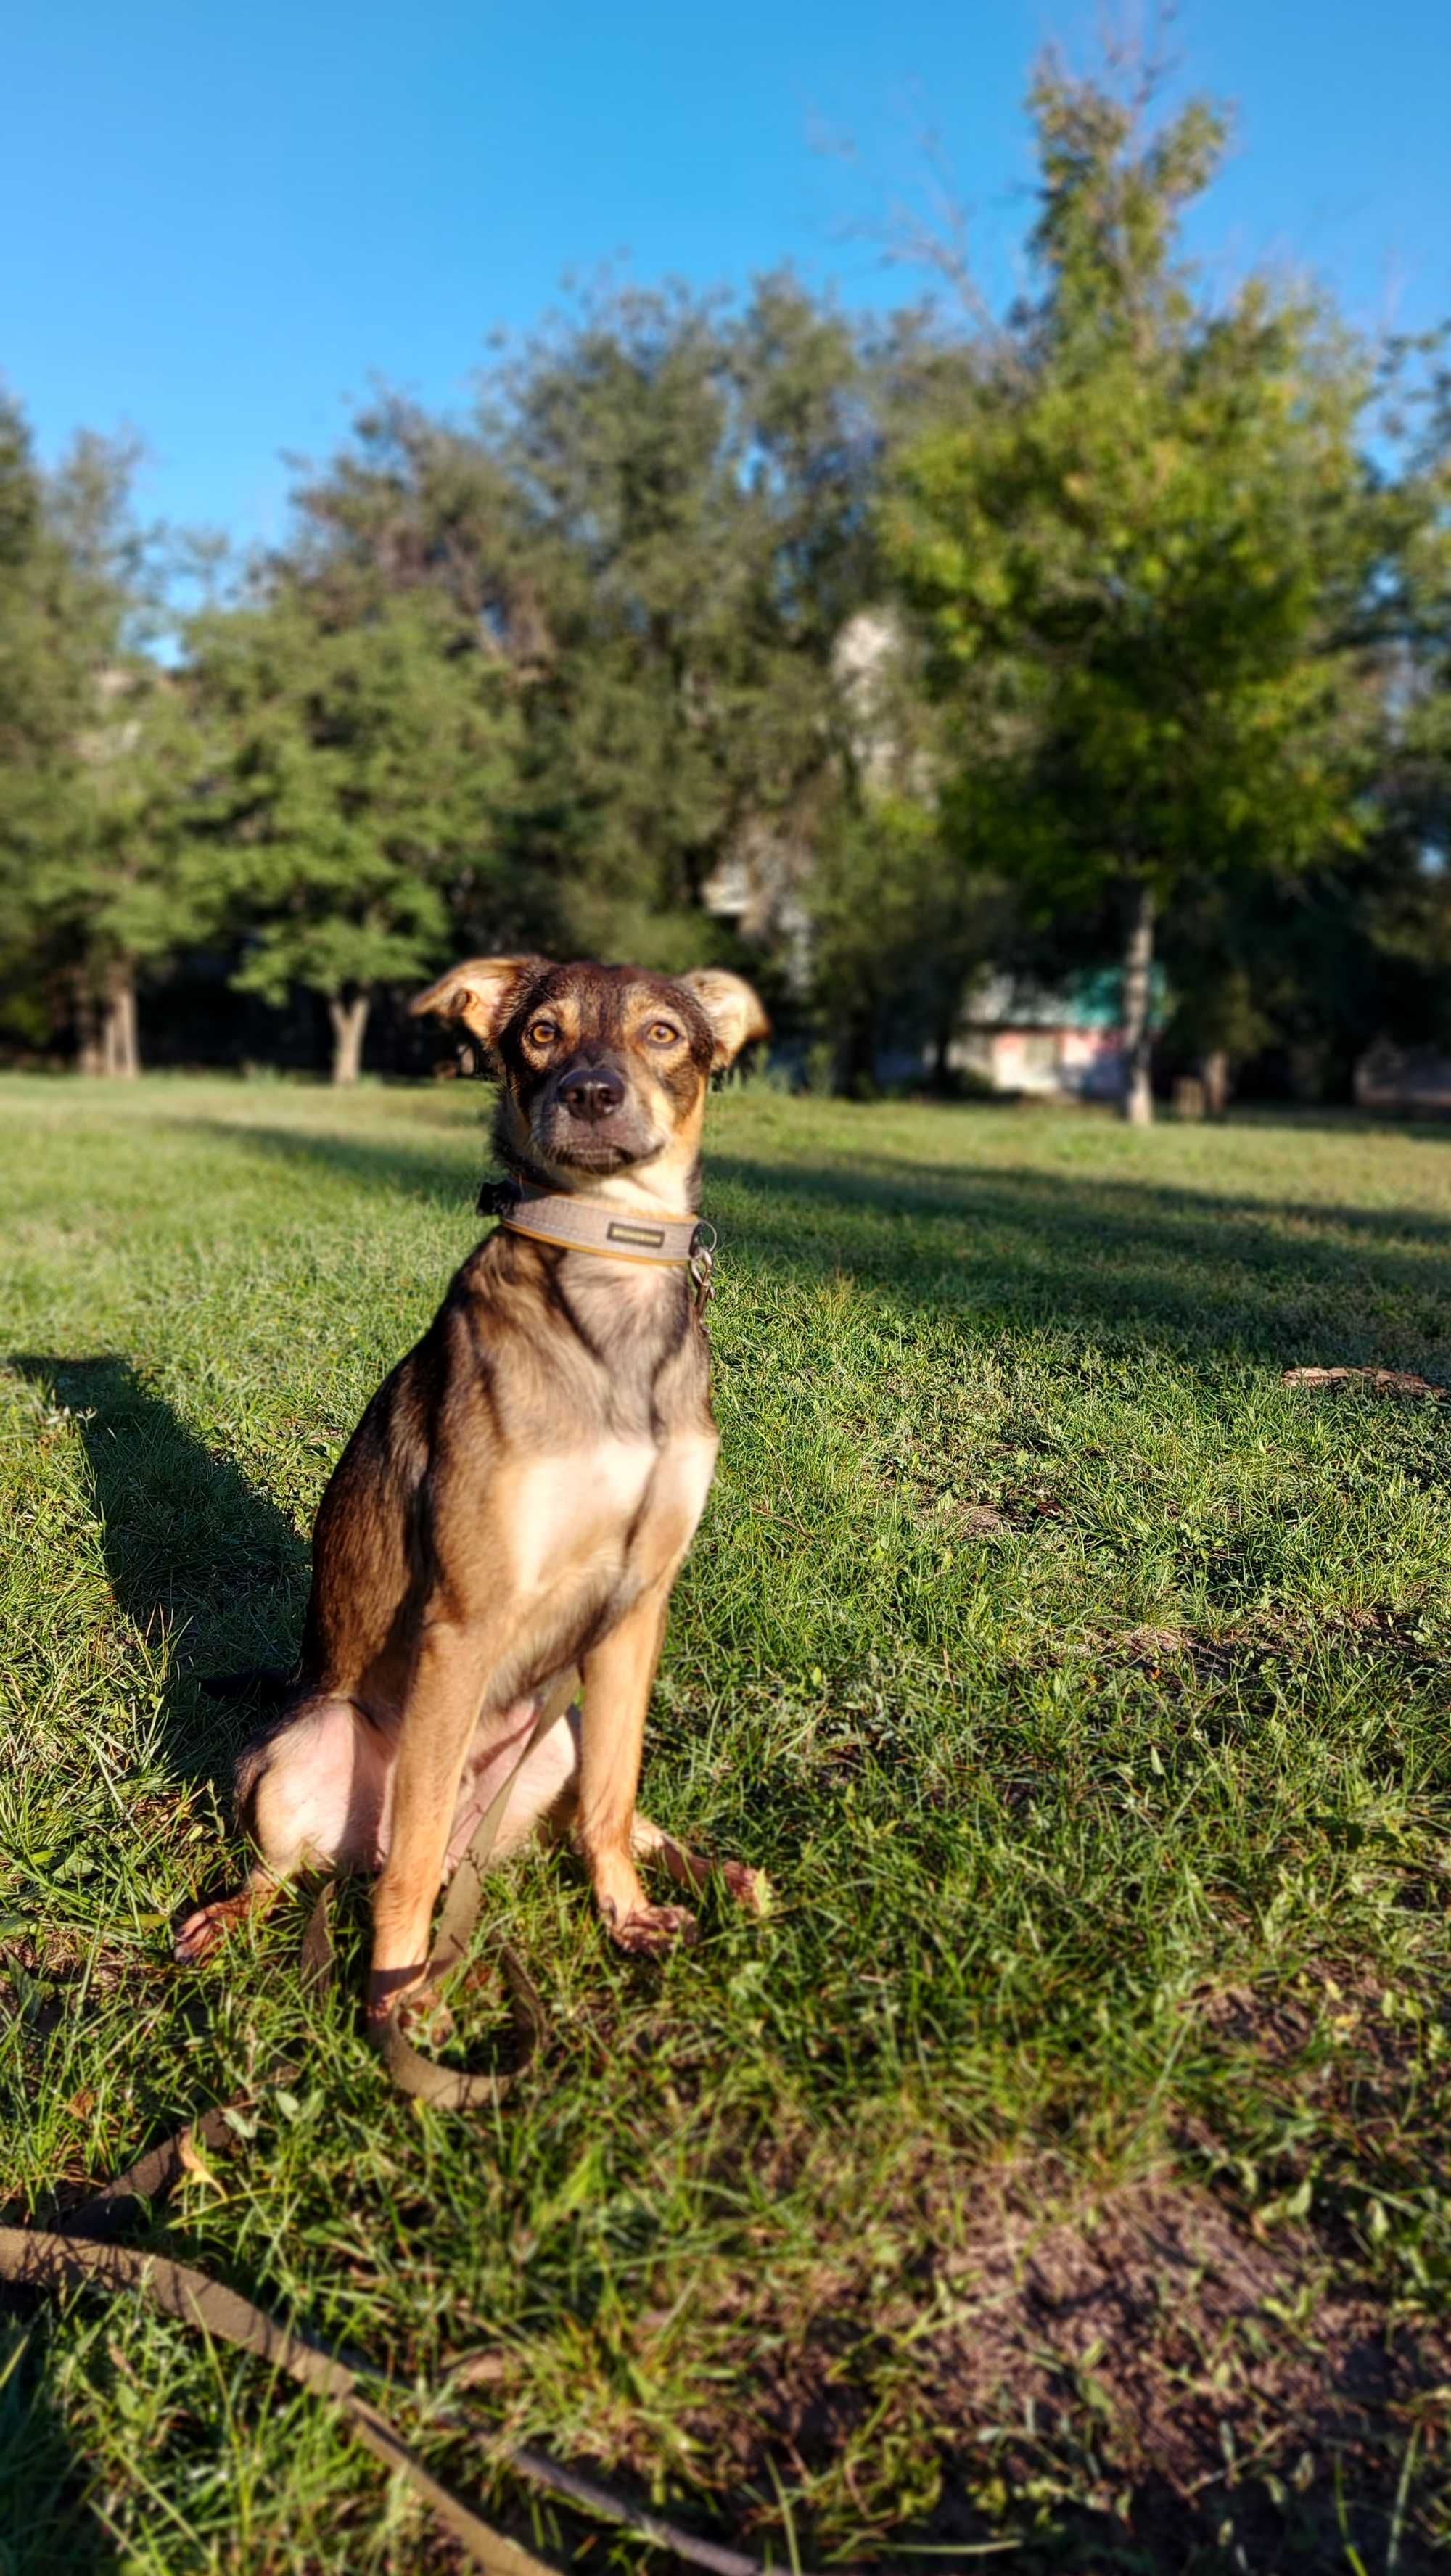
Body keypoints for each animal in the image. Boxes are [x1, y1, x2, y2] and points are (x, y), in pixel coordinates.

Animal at [173, 958, 773, 2019]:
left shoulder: (636, 1604)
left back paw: (716, 1871)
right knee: (310, 1866)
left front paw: (625, 1912)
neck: (610, 1278)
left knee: (588, 1807)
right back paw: (234, 1918)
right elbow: (411, 1866)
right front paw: (397, 1993)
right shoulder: (466, 1614)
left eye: (662, 1032)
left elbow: (614, 1798)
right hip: (306, 1746)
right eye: (540, 1032)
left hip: (556, 1730)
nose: (590, 1093)